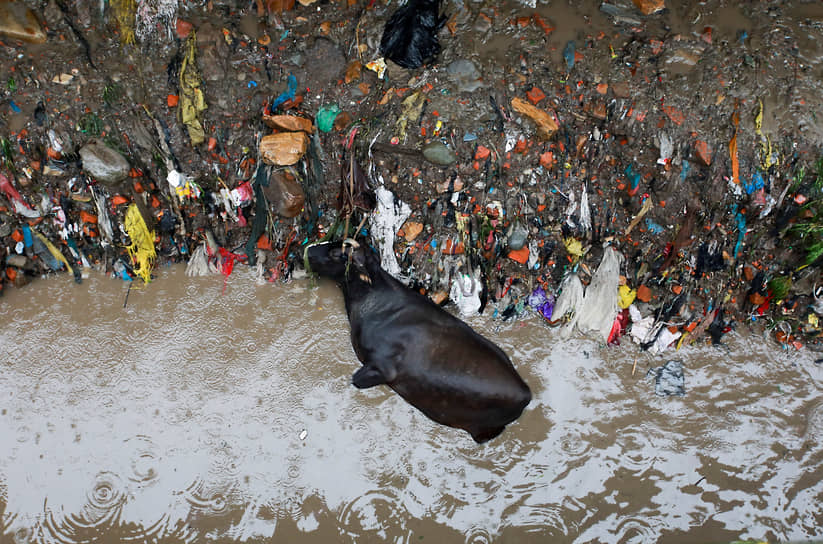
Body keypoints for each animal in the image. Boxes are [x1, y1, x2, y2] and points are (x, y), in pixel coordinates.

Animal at [306, 240, 532, 444]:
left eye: (337, 253)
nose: (308, 250)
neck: (374, 299)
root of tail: (526, 393)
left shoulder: (382, 366)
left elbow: (356, 379)